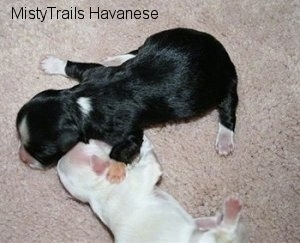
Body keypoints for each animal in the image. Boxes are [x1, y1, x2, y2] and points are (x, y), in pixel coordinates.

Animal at [17, 28, 239, 173]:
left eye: (43, 153)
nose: (22, 158)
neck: (80, 105)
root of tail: (221, 51)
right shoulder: (93, 73)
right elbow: (74, 66)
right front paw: (53, 63)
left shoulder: (127, 131)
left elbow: (121, 150)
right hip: (160, 38)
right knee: (136, 52)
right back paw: (116, 59)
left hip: (227, 82)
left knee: (228, 109)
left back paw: (225, 141)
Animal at [56, 137, 246, 243]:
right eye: (89, 142)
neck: (97, 189)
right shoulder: (144, 174)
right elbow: (150, 162)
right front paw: (144, 142)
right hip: (206, 240)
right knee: (225, 232)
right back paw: (231, 209)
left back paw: (214, 219)